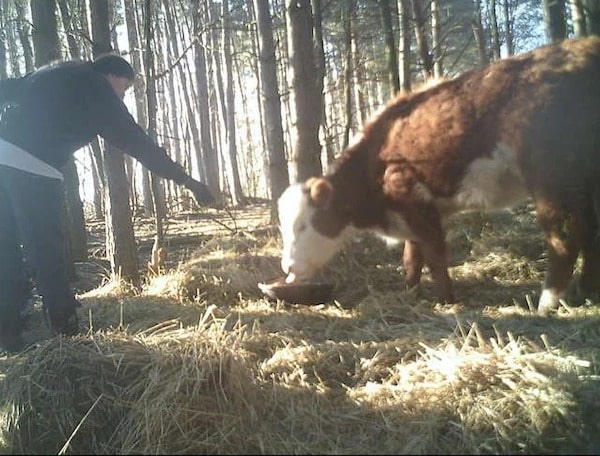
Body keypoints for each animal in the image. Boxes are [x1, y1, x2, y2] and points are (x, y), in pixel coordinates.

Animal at [278, 36, 600, 314]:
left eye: (303, 226)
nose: (287, 267)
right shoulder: (412, 213)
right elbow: (412, 256)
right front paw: (410, 291)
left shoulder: (415, 201)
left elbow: (434, 256)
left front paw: (445, 300)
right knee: (591, 232)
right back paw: (585, 292)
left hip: (551, 177)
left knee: (565, 235)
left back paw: (548, 302)